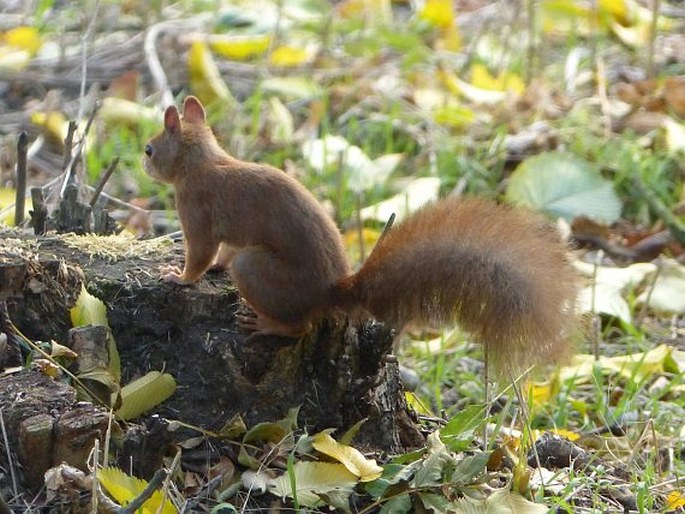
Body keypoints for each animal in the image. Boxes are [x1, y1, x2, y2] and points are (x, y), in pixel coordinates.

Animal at [143, 95, 576, 368]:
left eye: (149, 149)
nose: (143, 163)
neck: (202, 160)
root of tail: (332, 292)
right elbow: (221, 253)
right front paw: (211, 270)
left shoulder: (196, 209)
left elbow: (200, 254)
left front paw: (178, 277)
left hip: (255, 269)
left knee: (300, 326)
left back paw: (266, 324)